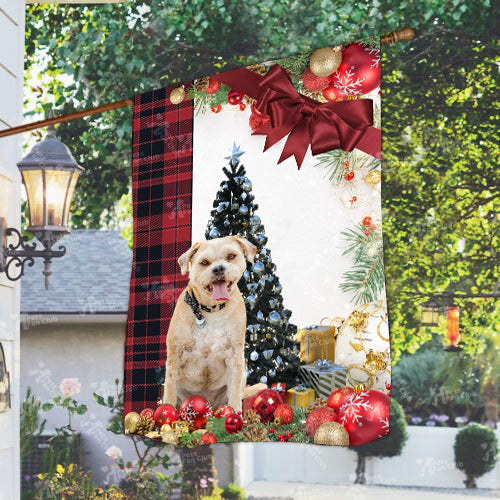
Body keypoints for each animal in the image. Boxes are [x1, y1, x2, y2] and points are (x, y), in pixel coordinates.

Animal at [163, 236, 266, 412]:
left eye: (231, 256)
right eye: (204, 262)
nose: (218, 269)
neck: (211, 310)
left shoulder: (235, 355)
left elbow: (234, 392)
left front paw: (235, 413)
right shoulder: (175, 354)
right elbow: (170, 390)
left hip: (242, 375)